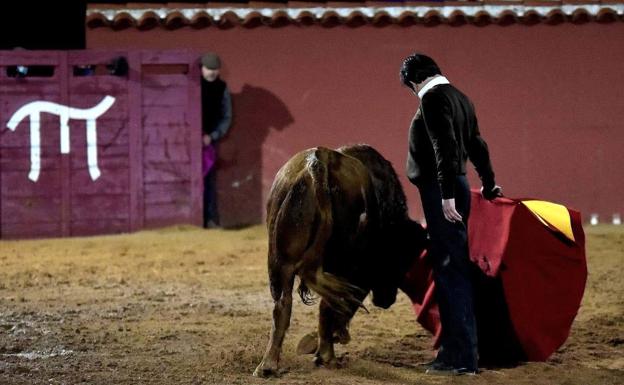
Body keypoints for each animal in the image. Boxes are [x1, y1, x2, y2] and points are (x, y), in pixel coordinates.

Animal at [251, 143, 426, 376]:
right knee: (329, 304)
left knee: (282, 304)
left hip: (279, 260)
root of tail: (319, 163)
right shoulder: (362, 271)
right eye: (398, 261)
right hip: (342, 264)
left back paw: (268, 366)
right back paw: (327, 356)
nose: (386, 300)